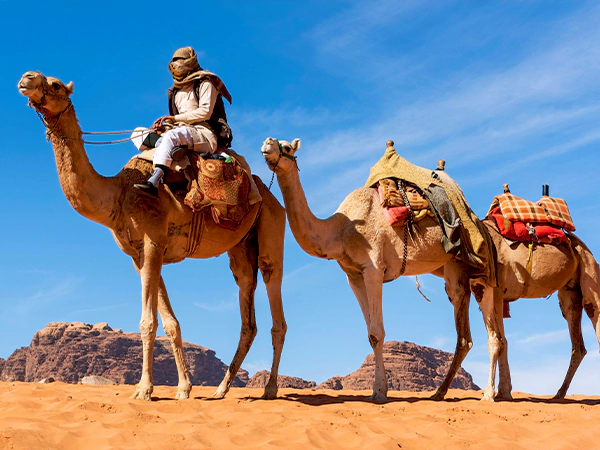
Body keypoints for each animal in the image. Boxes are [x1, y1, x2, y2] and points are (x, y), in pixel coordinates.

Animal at [19, 72, 288, 402]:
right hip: (240, 247)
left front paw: (144, 389)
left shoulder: (152, 243)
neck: (118, 195)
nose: (26, 79)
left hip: (272, 230)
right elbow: (170, 322)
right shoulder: (142, 253)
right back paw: (221, 389)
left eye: (55, 84)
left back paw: (270, 388)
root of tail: (267, 194)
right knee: (247, 308)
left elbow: (148, 321)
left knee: (275, 303)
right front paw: (184, 388)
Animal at [258, 136, 478, 400]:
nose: (267, 143)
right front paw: (379, 389)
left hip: (457, 260)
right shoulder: (353, 276)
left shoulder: (373, 269)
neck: (341, 231)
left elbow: (377, 332)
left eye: (287, 147)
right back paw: (441, 392)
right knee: (464, 329)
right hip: (446, 266)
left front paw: (380, 392)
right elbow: (370, 334)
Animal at [472, 218, 596, 400]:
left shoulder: (495, 289)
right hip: (570, 293)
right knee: (578, 345)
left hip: (589, 269)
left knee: (593, 309)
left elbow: (497, 340)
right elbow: (503, 340)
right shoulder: (495, 292)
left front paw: (491, 394)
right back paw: (559, 394)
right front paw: (504, 392)